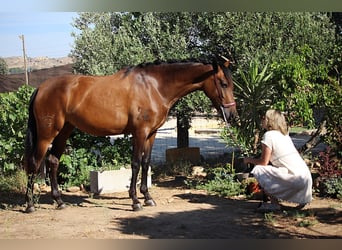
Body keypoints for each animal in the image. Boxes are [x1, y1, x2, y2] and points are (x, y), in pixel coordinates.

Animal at [22, 57, 236, 212]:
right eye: (223, 84)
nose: (232, 115)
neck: (154, 86)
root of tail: (41, 88)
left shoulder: (152, 134)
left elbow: (146, 163)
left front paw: (147, 197)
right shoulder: (140, 133)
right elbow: (135, 164)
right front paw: (135, 201)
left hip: (64, 131)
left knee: (52, 162)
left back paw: (59, 201)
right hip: (46, 135)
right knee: (34, 163)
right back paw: (30, 205)